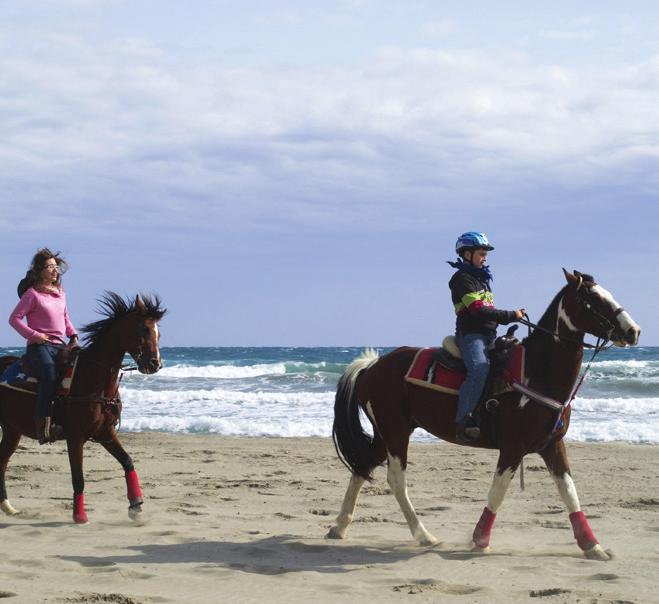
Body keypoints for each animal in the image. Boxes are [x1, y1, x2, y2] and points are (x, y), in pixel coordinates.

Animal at [0, 292, 165, 524]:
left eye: (158, 331)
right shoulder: (75, 437)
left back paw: (7, 506)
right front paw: (79, 515)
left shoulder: (106, 432)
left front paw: (136, 504)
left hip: (12, 430)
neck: (92, 380)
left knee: (2, 461)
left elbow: (127, 461)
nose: (154, 364)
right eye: (144, 329)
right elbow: (78, 478)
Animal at [332, 270, 640, 560]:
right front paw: (479, 540)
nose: (633, 331)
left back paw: (339, 526)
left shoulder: (552, 445)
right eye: (593, 299)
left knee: (362, 467)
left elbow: (569, 492)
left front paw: (592, 545)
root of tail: (372, 366)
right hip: (395, 433)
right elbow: (498, 491)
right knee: (396, 480)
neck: (535, 372)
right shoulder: (513, 448)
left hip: (389, 432)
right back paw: (424, 535)